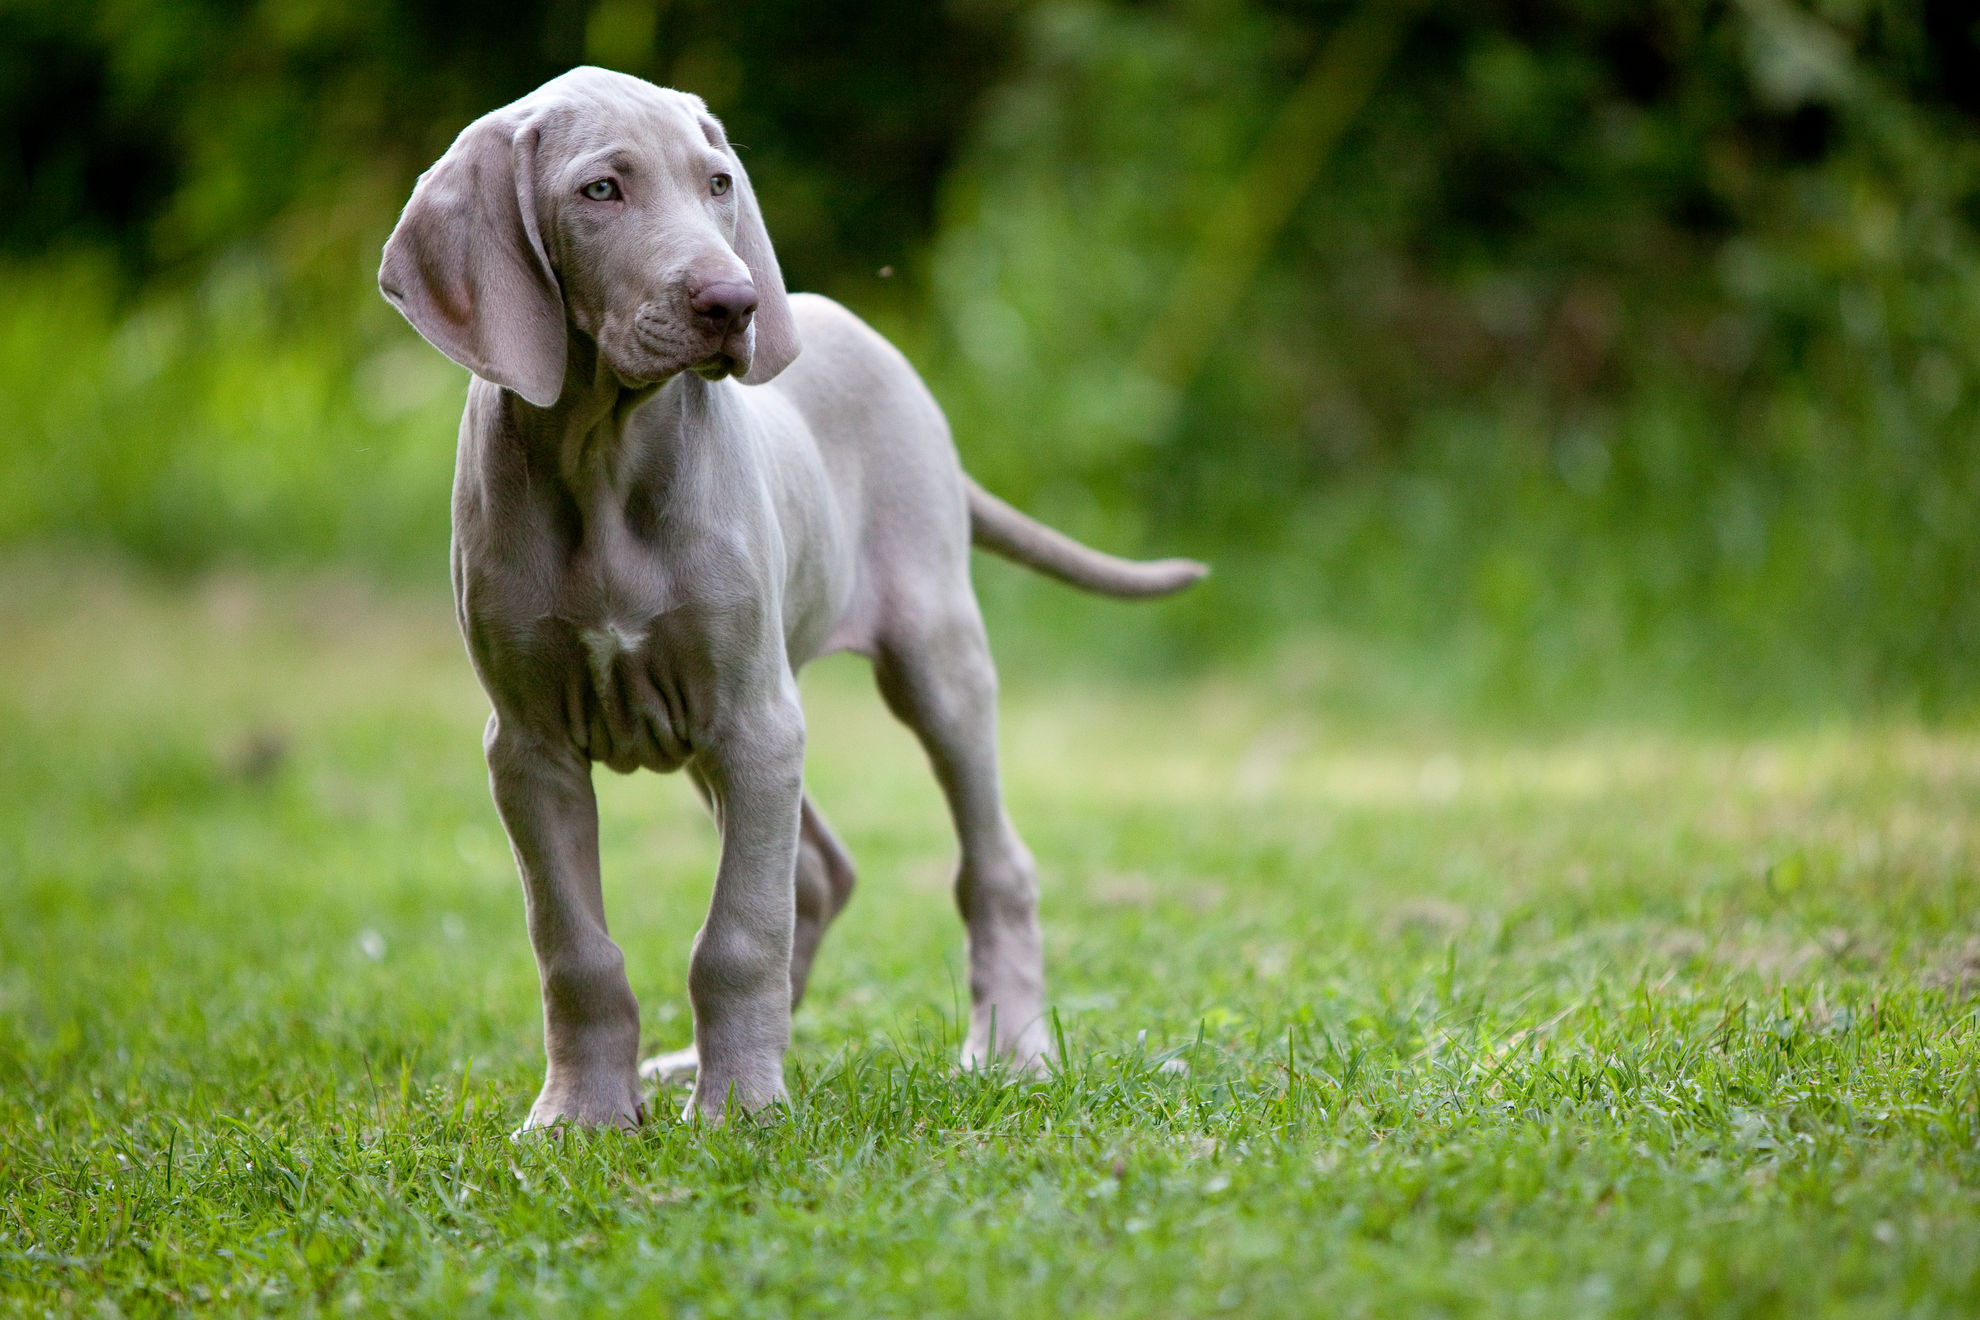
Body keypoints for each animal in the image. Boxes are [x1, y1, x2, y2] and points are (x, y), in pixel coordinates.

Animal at [376, 67, 1195, 1131]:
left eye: (718, 182)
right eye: (601, 191)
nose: (735, 300)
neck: (606, 456)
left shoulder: (753, 721)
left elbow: (738, 931)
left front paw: (739, 1109)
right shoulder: (529, 747)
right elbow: (572, 945)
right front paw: (582, 1114)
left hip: (925, 660)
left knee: (990, 864)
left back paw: (1009, 1047)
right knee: (818, 871)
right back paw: (696, 1060)